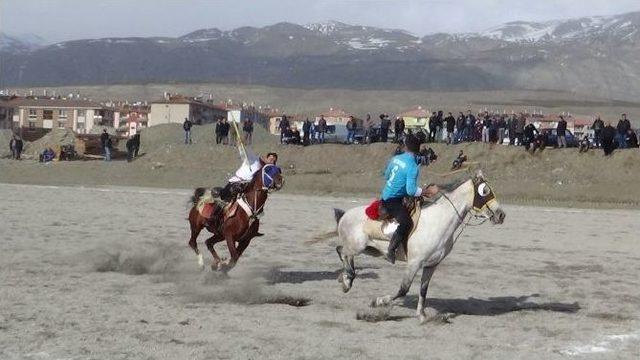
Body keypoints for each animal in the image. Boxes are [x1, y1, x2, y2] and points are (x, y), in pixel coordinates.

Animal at [336, 170, 504, 322]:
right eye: (484, 191)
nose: (501, 215)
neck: (438, 221)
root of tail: (345, 215)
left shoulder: (431, 265)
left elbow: (423, 290)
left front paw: (422, 316)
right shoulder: (414, 263)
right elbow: (403, 289)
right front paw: (378, 302)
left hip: (370, 250)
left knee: (343, 253)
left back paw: (346, 278)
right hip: (358, 247)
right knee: (342, 251)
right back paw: (347, 280)